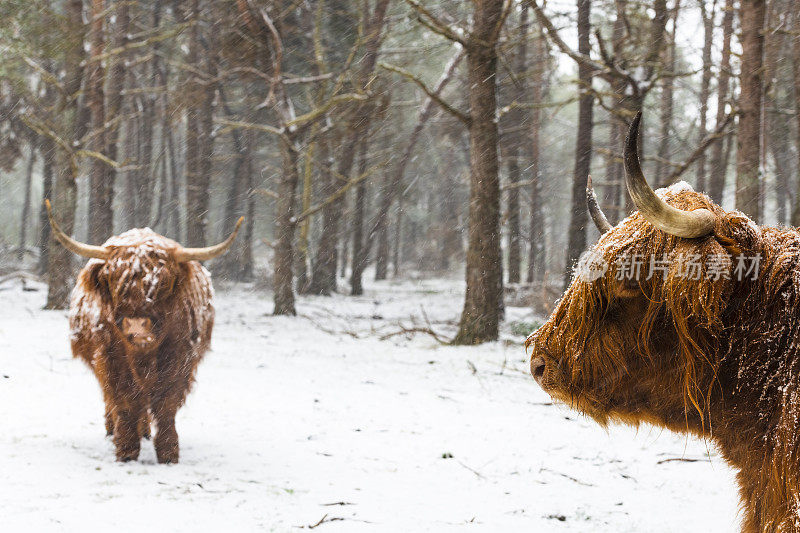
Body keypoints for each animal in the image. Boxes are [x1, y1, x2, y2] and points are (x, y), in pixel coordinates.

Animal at [46, 200, 241, 462]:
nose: (138, 327)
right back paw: (113, 430)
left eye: (164, 283)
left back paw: (145, 432)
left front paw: (169, 452)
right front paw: (126, 450)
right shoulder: (112, 359)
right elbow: (126, 402)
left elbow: (166, 406)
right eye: (113, 281)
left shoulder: (180, 361)